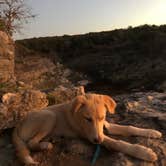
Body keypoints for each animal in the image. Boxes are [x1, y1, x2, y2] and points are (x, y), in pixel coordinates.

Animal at [12, 91, 162, 165]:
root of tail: (18, 124)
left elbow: (129, 128)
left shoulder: (106, 126)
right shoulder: (91, 136)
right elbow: (118, 143)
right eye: (88, 119)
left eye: (102, 117)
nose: (97, 141)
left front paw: (152, 132)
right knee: (30, 142)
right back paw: (45, 145)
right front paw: (144, 152)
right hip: (49, 116)